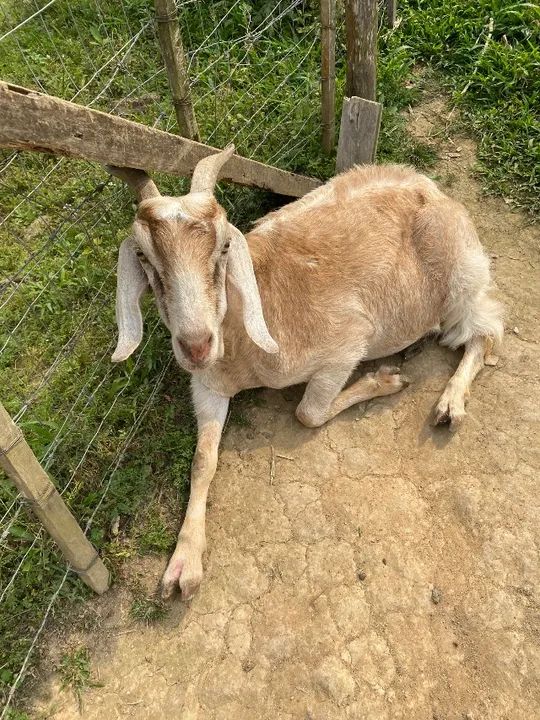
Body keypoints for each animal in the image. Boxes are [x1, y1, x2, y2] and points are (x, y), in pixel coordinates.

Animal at [107, 145, 503, 600]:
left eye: (224, 247)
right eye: (143, 256)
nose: (196, 344)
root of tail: (428, 185)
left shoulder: (347, 345)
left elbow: (308, 413)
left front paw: (386, 380)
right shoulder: (207, 385)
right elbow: (202, 460)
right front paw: (183, 563)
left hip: (463, 278)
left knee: (486, 332)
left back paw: (450, 403)